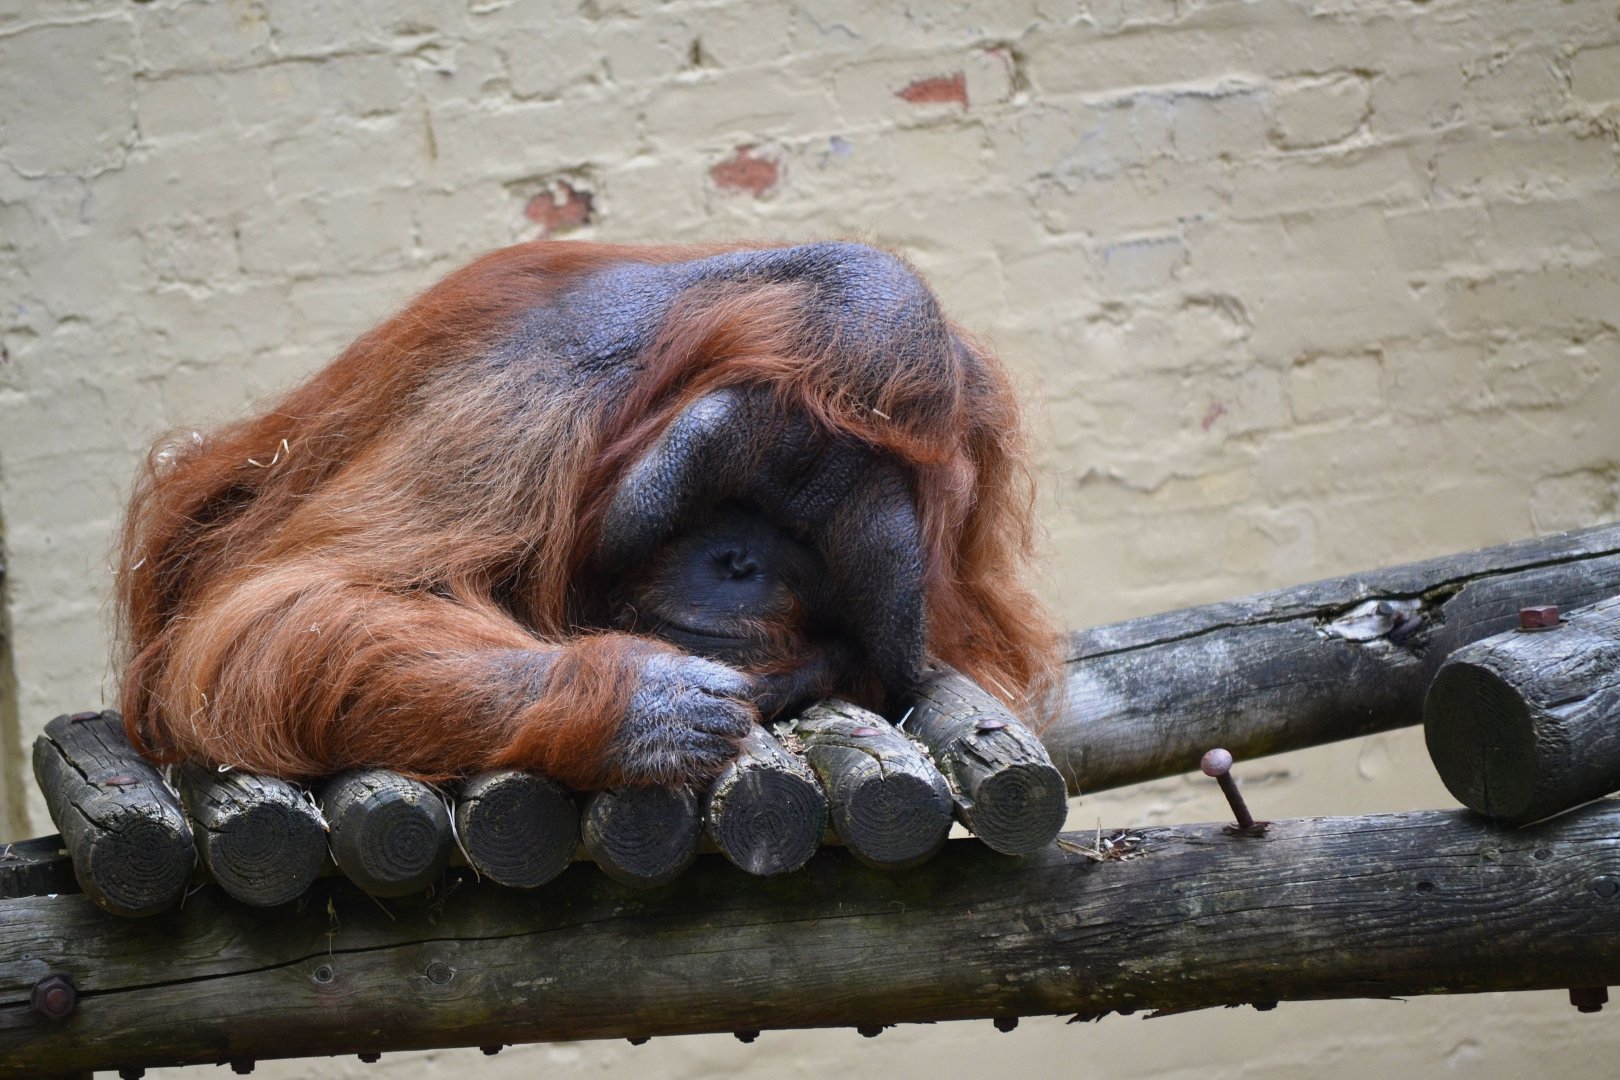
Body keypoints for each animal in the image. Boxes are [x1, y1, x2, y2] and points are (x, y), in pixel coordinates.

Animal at [116, 241, 1060, 790]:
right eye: (732, 506)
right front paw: (644, 704)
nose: (739, 564)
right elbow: (275, 613)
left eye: (798, 541)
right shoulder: (528, 394)